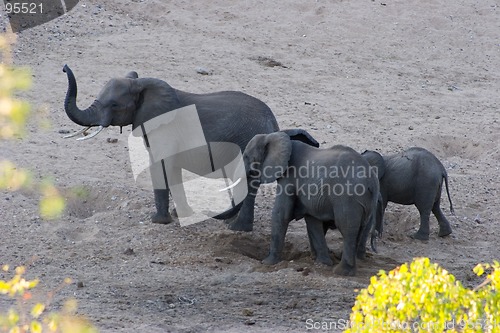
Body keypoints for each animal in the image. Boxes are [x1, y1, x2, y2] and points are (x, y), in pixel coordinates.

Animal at [61, 65, 284, 231]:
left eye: (114, 105)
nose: (64, 68)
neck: (143, 84)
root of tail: (273, 124)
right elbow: (172, 170)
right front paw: (183, 215)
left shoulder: (164, 130)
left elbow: (159, 166)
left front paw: (158, 221)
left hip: (246, 143)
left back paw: (236, 228)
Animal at [219, 132, 378, 274]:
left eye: (246, 156)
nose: (229, 226)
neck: (273, 136)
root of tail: (371, 181)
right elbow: (312, 221)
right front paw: (322, 262)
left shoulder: (289, 175)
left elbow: (281, 213)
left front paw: (268, 263)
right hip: (367, 203)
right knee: (361, 229)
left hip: (348, 198)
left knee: (347, 228)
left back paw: (341, 272)